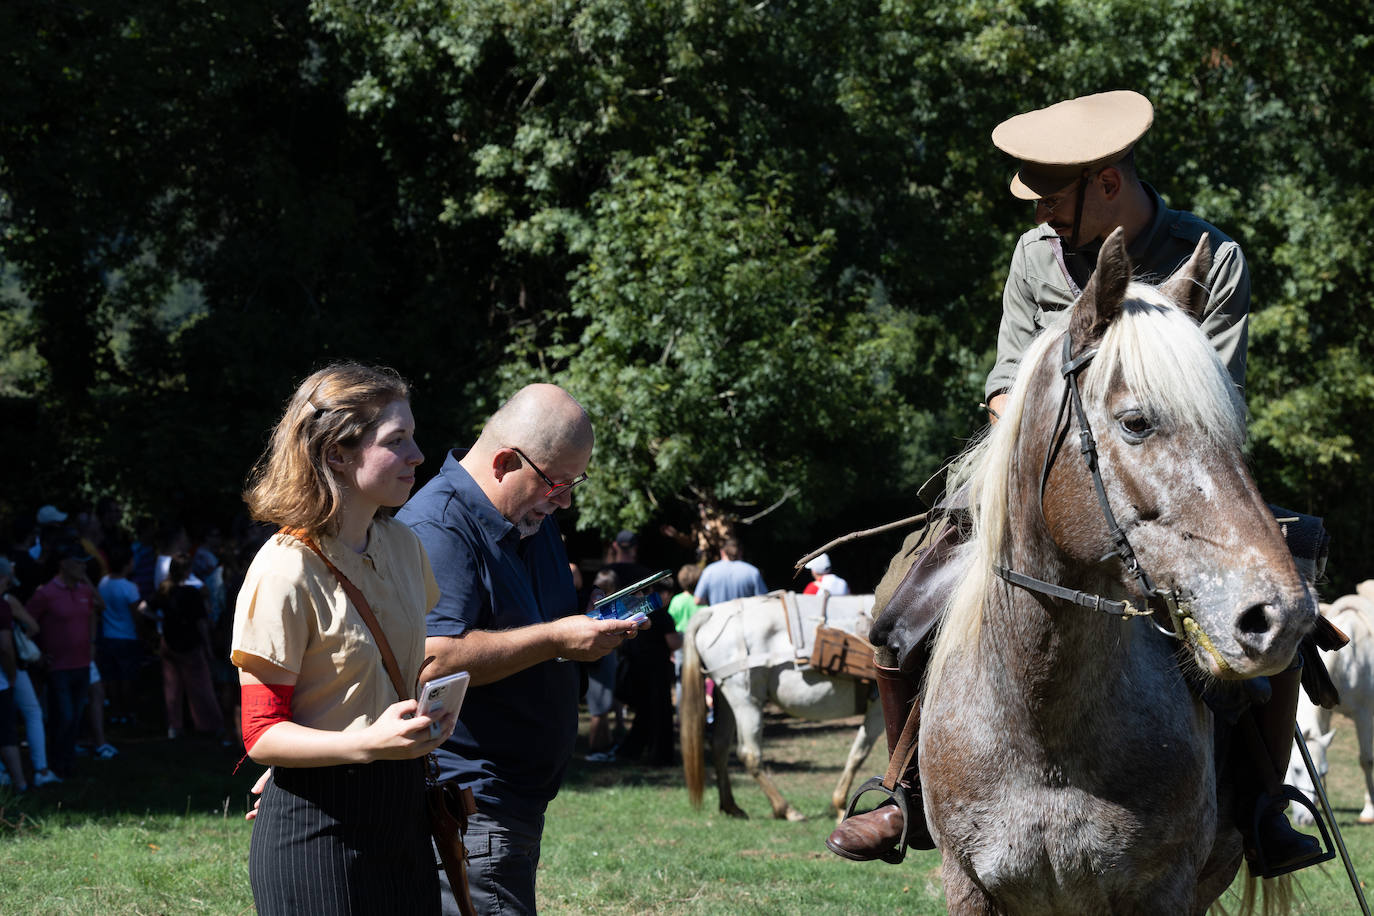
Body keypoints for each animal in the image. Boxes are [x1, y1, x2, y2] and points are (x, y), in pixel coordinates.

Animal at [676, 596, 879, 823]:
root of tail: (712, 613)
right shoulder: (878, 708)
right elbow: (859, 755)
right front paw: (840, 805)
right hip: (747, 702)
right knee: (749, 754)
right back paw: (785, 809)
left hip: (728, 701)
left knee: (719, 745)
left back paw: (731, 806)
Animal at [1286, 587, 1374, 829]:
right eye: (1296, 769)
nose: (1305, 820)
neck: (1348, 662)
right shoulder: (1326, 712)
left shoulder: (1364, 715)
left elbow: (1366, 760)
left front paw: (1368, 811)